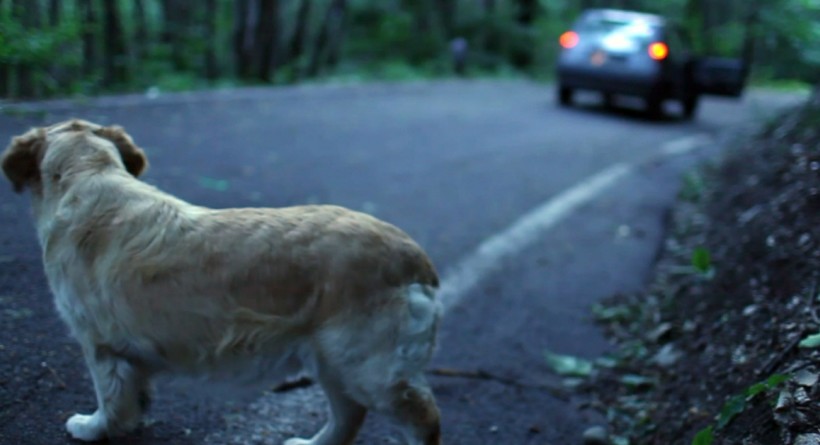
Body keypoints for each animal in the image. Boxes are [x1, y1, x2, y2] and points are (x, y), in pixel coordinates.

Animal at [1, 119, 442, 444]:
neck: (88, 173)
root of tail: (416, 258)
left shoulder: (98, 342)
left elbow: (109, 396)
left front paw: (93, 428)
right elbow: (134, 396)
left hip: (367, 366)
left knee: (422, 416)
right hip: (330, 358)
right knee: (349, 416)